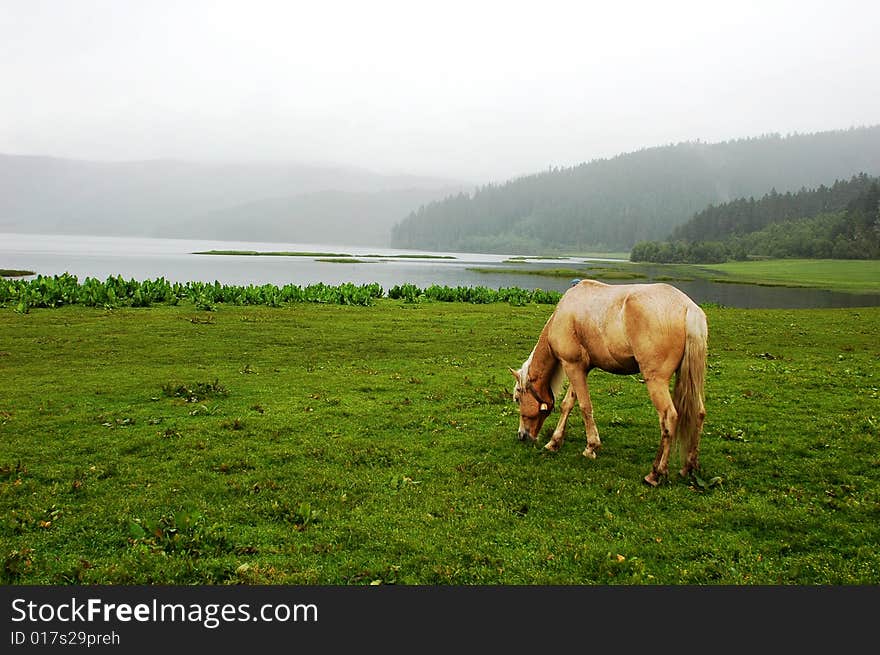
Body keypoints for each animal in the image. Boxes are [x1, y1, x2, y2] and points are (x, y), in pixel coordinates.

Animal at [508, 278, 708, 486]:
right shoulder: (580, 368)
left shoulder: (572, 366)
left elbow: (585, 407)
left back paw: (656, 473)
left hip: (656, 381)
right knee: (699, 413)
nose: (522, 435)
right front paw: (554, 442)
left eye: (517, 399)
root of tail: (688, 307)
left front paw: (591, 447)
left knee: (668, 418)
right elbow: (568, 404)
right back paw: (688, 466)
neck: (562, 314)